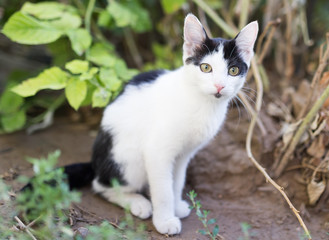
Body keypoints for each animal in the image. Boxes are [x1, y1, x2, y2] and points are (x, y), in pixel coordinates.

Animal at [65, 13, 258, 234]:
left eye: (233, 70)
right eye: (205, 68)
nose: (219, 86)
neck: (202, 102)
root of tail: (95, 162)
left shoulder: (184, 154)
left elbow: (176, 182)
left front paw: (176, 206)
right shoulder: (157, 152)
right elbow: (163, 190)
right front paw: (165, 220)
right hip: (128, 159)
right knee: (101, 185)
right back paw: (137, 202)